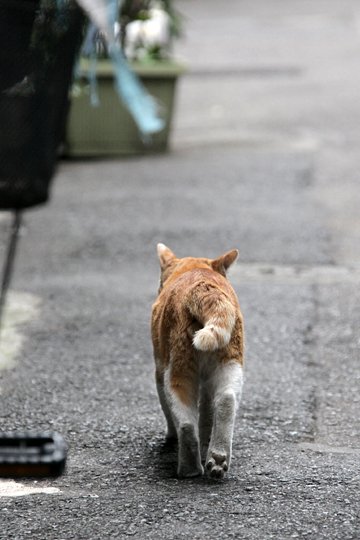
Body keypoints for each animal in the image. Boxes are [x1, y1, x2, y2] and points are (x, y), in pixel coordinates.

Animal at [150, 244, 243, 476]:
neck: (193, 268)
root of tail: (202, 287)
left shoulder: (159, 369)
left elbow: (167, 408)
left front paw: (171, 436)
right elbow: (208, 411)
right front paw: (206, 440)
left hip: (176, 367)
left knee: (184, 420)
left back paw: (189, 469)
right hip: (230, 361)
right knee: (226, 399)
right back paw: (217, 458)